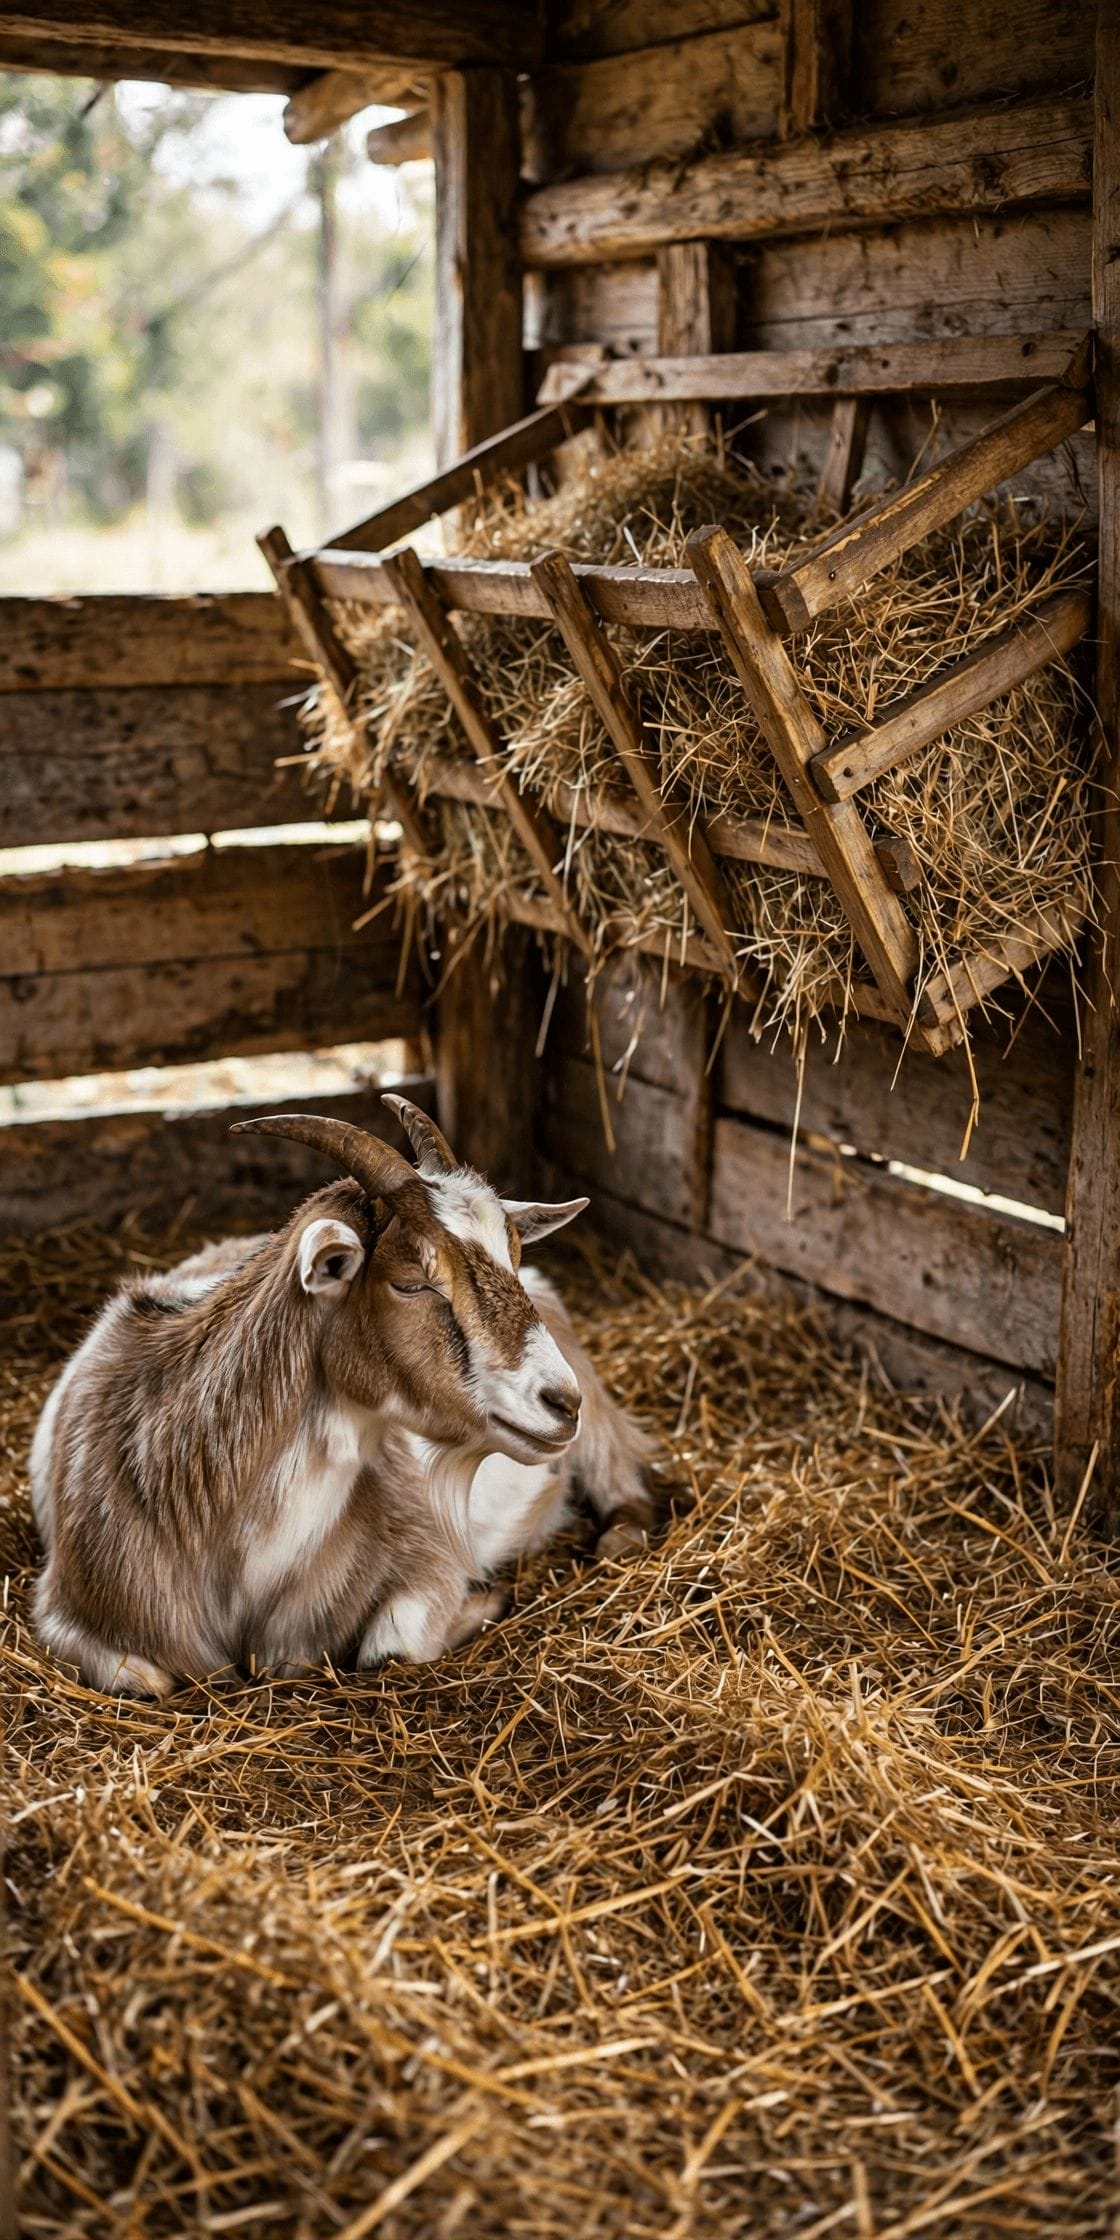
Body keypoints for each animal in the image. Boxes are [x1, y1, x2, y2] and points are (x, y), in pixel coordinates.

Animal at [30, 1097, 652, 1697]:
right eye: (411, 1283)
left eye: (514, 1261)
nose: (562, 1402)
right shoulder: (66, 1609)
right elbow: (145, 1679)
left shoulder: (427, 1551)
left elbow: (389, 1652)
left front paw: (485, 1601)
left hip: (595, 1425)